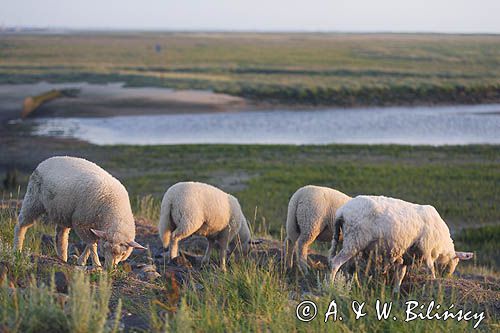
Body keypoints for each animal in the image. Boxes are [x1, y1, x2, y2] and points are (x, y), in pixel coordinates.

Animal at [12, 156, 146, 270]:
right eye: (105, 248)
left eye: (123, 253)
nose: (109, 268)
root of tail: (46, 161)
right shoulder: (81, 222)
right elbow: (92, 244)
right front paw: (96, 264)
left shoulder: (94, 226)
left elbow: (91, 242)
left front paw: (82, 260)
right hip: (33, 200)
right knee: (21, 224)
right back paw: (17, 249)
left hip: (62, 212)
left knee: (61, 236)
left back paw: (63, 258)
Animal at [328, 195, 472, 290]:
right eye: (455, 263)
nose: (447, 278)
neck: (441, 246)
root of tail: (342, 211)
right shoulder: (426, 249)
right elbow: (431, 268)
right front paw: (435, 281)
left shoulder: (406, 257)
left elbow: (400, 276)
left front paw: (396, 293)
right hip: (354, 241)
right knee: (336, 263)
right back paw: (331, 286)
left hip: (354, 244)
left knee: (351, 269)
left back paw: (355, 287)